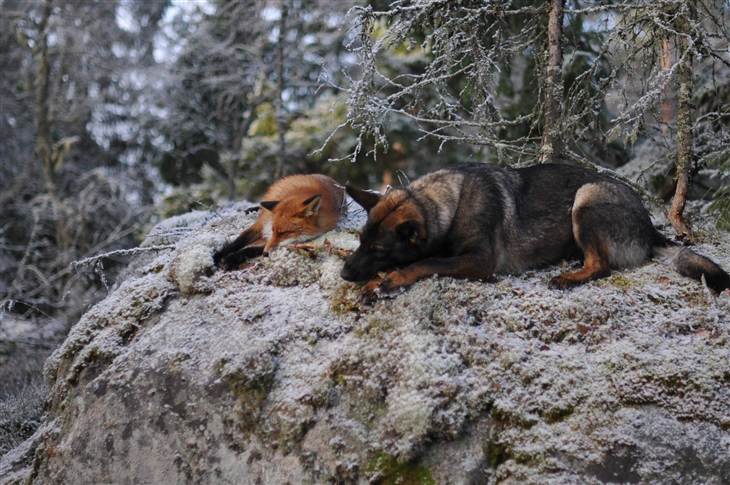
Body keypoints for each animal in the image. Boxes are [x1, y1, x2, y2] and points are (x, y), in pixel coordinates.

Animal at [213, 173, 344, 268]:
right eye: (273, 230)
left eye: (285, 233)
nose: (265, 254)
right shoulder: (261, 224)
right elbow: (237, 242)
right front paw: (218, 256)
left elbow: (251, 249)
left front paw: (231, 259)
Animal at [342, 164, 728, 298]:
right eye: (360, 241)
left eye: (379, 250)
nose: (345, 274)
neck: (450, 203)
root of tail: (650, 227)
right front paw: (377, 282)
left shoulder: (479, 261)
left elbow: (426, 262)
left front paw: (393, 278)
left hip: (585, 198)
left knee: (601, 266)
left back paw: (568, 278)